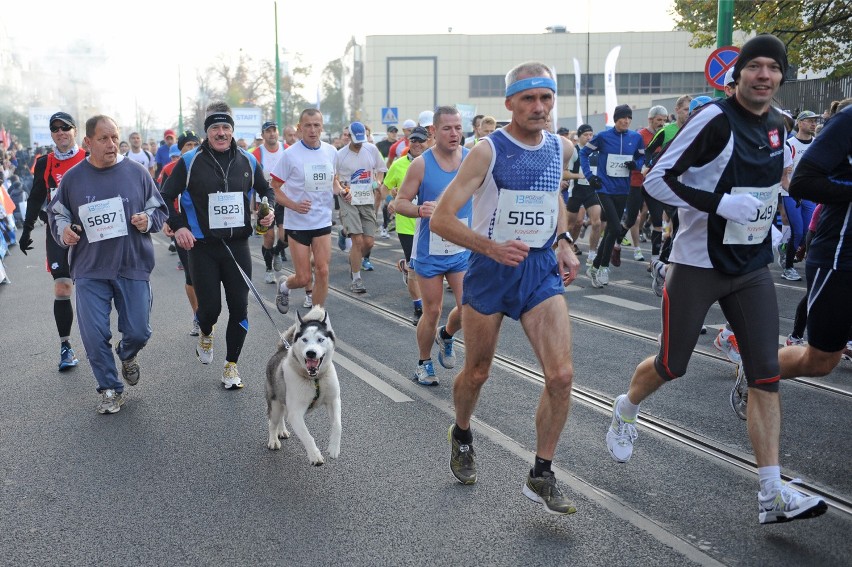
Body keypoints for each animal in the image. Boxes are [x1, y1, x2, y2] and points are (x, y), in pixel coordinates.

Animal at [268, 306, 344, 466]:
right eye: (304, 339)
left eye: (321, 339)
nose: (311, 353)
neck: (315, 379)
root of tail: (282, 349)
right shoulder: (296, 413)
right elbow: (307, 436)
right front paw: (315, 455)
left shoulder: (334, 400)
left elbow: (337, 425)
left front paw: (334, 448)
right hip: (275, 403)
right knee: (272, 422)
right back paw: (273, 440)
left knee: (282, 415)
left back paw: (281, 430)